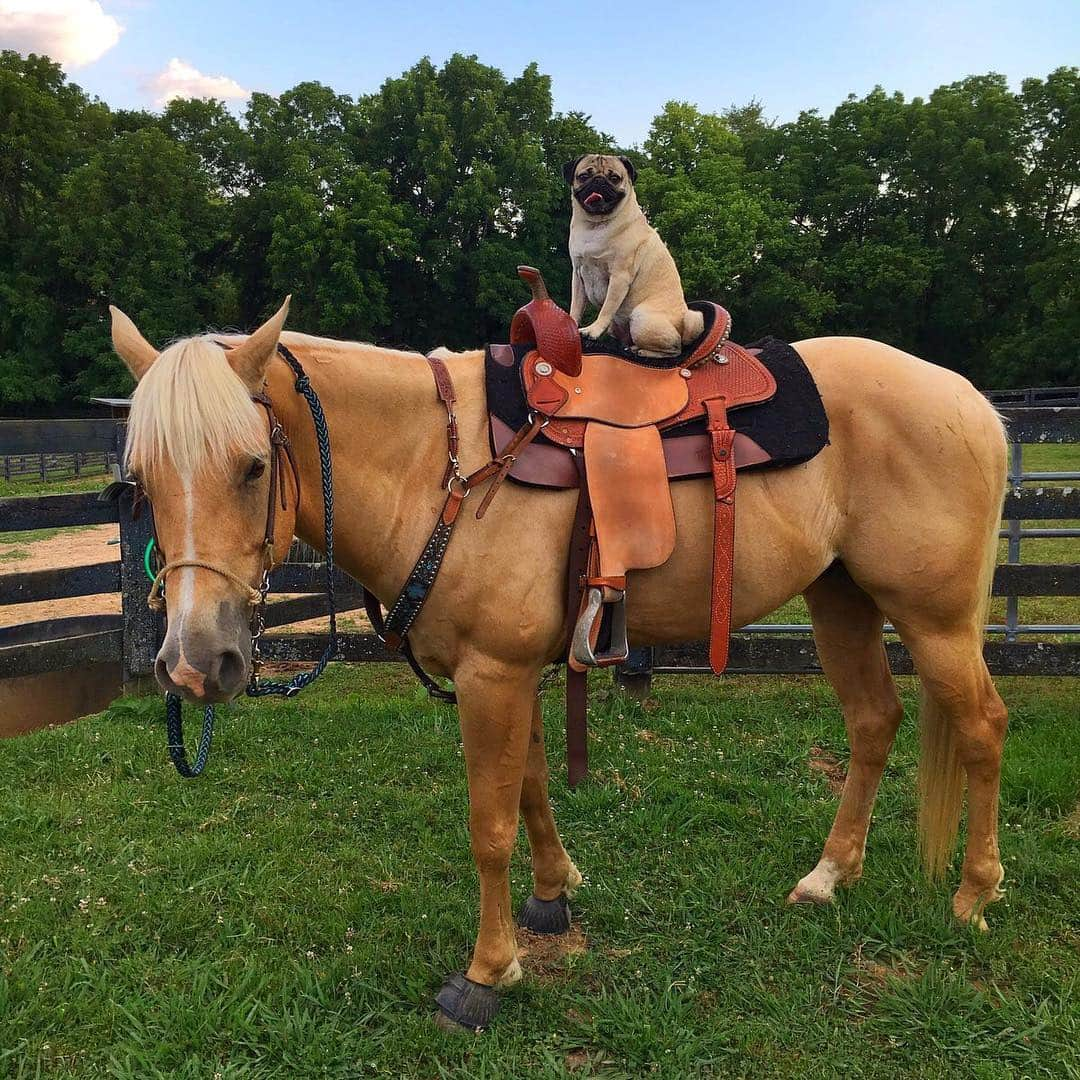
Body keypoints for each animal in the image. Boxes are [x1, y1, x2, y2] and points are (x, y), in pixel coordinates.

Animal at [111, 298, 1010, 1028]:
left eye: (253, 466)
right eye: (139, 482)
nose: (196, 664)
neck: (438, 464)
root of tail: (972, 403)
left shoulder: (491, 675)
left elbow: (489, 825)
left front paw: (486, 974)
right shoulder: (515, 671)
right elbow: (534, 788)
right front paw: (551, 898)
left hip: (934, 619)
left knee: (981, 728)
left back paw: (972, 895)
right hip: (841, 598)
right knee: (874, 721)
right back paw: (830, 875)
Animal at [561, 152, 704, 356]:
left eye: (614, 178)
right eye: (584, 176)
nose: (599, 180)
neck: (595, 224)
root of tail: (684, 326)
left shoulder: (619, 277)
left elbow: (607, 308)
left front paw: (592, 331)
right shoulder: (578, 275)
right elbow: (576, 307)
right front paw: (569, 324)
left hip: (640, 317)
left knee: (675, 348)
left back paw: (642, 351)